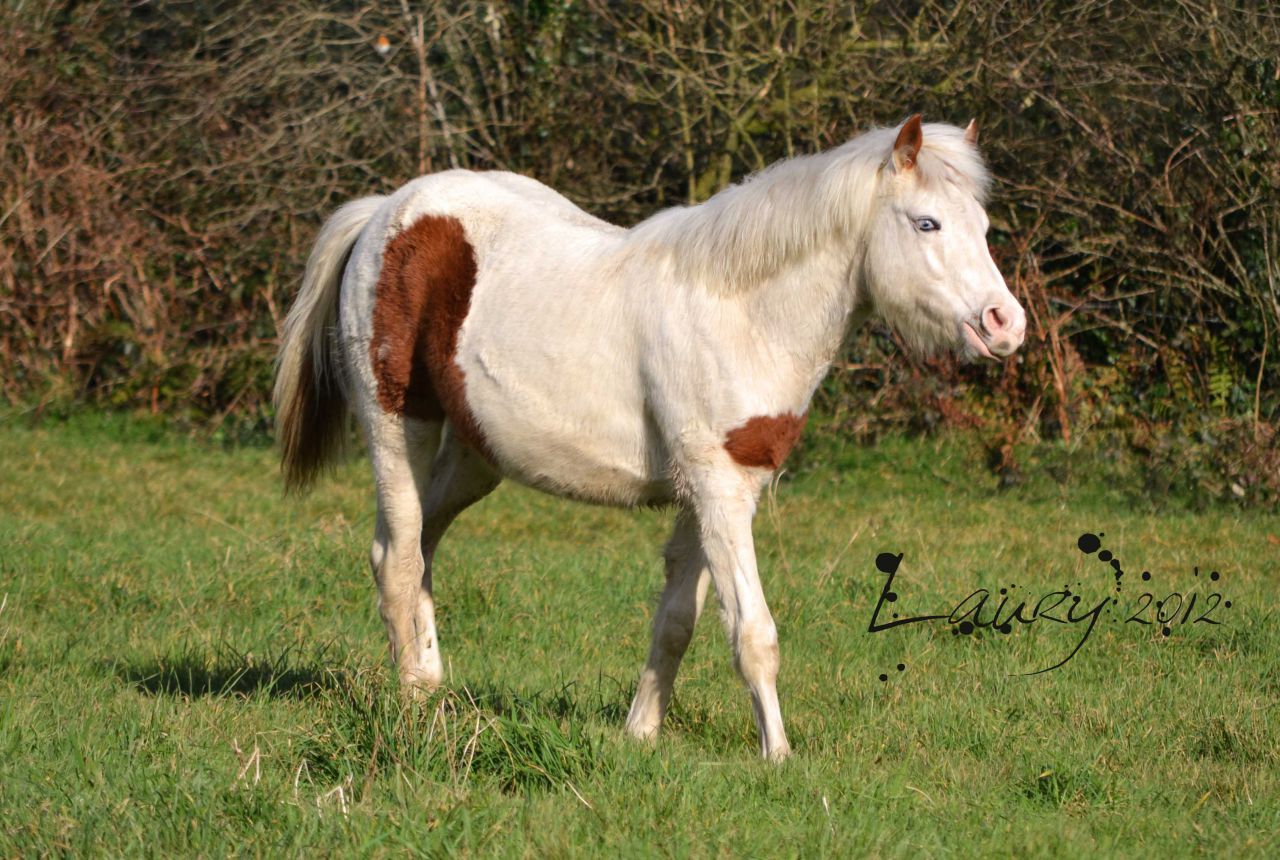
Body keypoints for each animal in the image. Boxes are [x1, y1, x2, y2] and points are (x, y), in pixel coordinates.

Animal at [273, 115, 1027, 760]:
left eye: (984, 225)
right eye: (926, 222)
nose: (1005, 325)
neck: (741, 309)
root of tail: (386, 211)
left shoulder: (713, 492)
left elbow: (677, 624)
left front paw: (640, 735)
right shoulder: (721, 492)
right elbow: (753, 632)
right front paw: (778, 756)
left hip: (473, 459)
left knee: (417, 547)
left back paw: (431, 684)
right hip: (398, 427)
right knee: (398, 556)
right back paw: (412, 706)